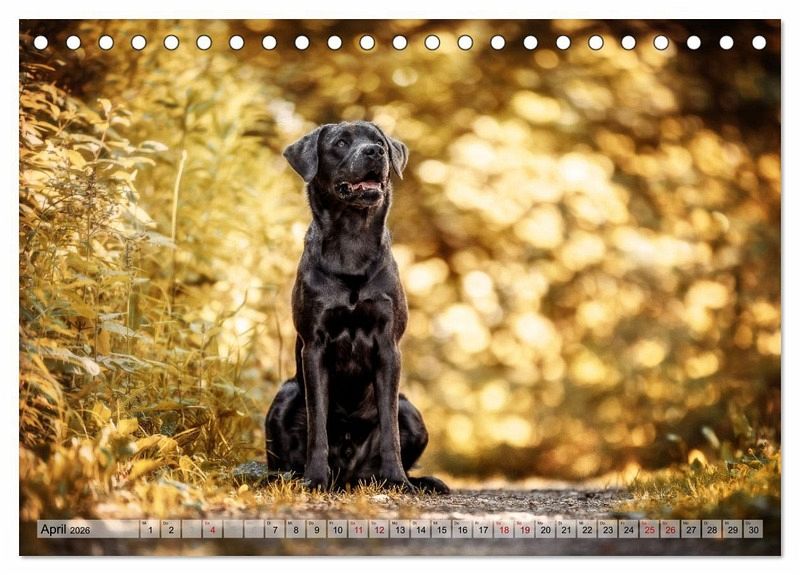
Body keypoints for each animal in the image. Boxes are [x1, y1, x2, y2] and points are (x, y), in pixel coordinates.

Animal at [265, 121, 448, 494]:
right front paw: (315, 478)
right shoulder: (314, 346)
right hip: (285, 394)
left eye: (378, 141)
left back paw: (419, 481)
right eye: (340, 143)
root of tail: (350, 476)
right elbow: (318, 424)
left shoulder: (388, 345)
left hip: (411, 410)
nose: (375, 152)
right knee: (283, 461)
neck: (352, 240)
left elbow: (389, 428)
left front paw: (397, 480)